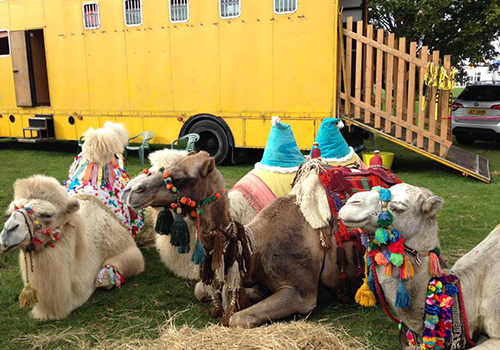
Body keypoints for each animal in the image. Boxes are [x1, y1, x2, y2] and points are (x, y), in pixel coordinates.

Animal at [125, 152, 376, 328]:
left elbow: (236, 319)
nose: (134, 191)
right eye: (169, 167)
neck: (254, 248)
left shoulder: (301, 292)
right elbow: (202, 290)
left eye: (181, 177)